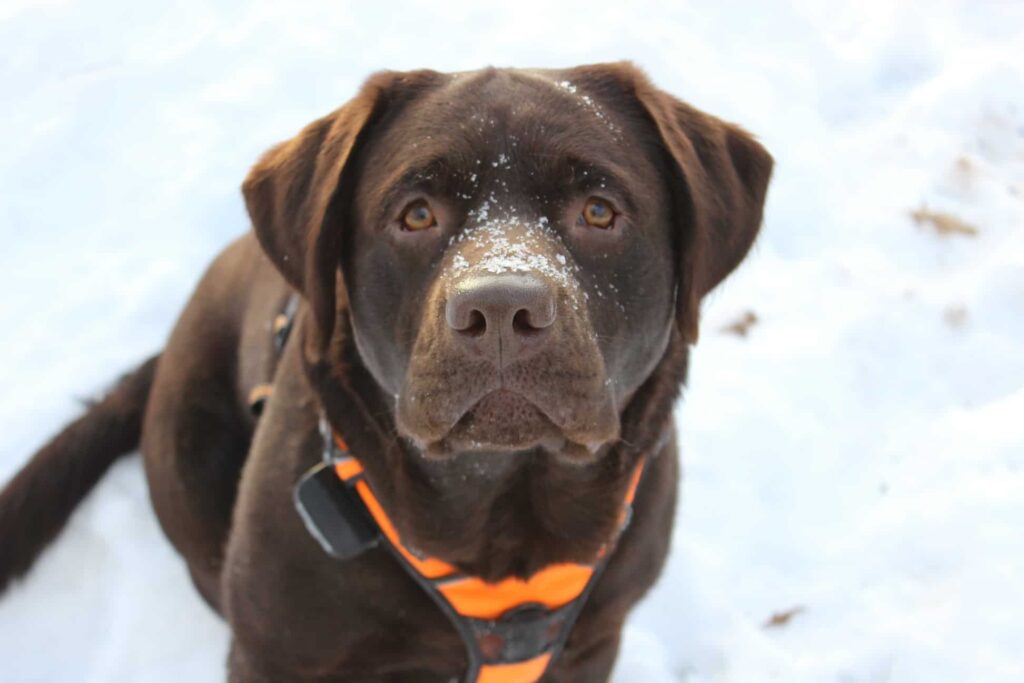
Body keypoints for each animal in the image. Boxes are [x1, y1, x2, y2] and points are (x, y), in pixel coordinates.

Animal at [0, 61, 770, 679]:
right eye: (417, 213)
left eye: (600, 210)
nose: (500, 309)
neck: (496, 520)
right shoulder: (276, 652)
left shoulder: (594, 638)